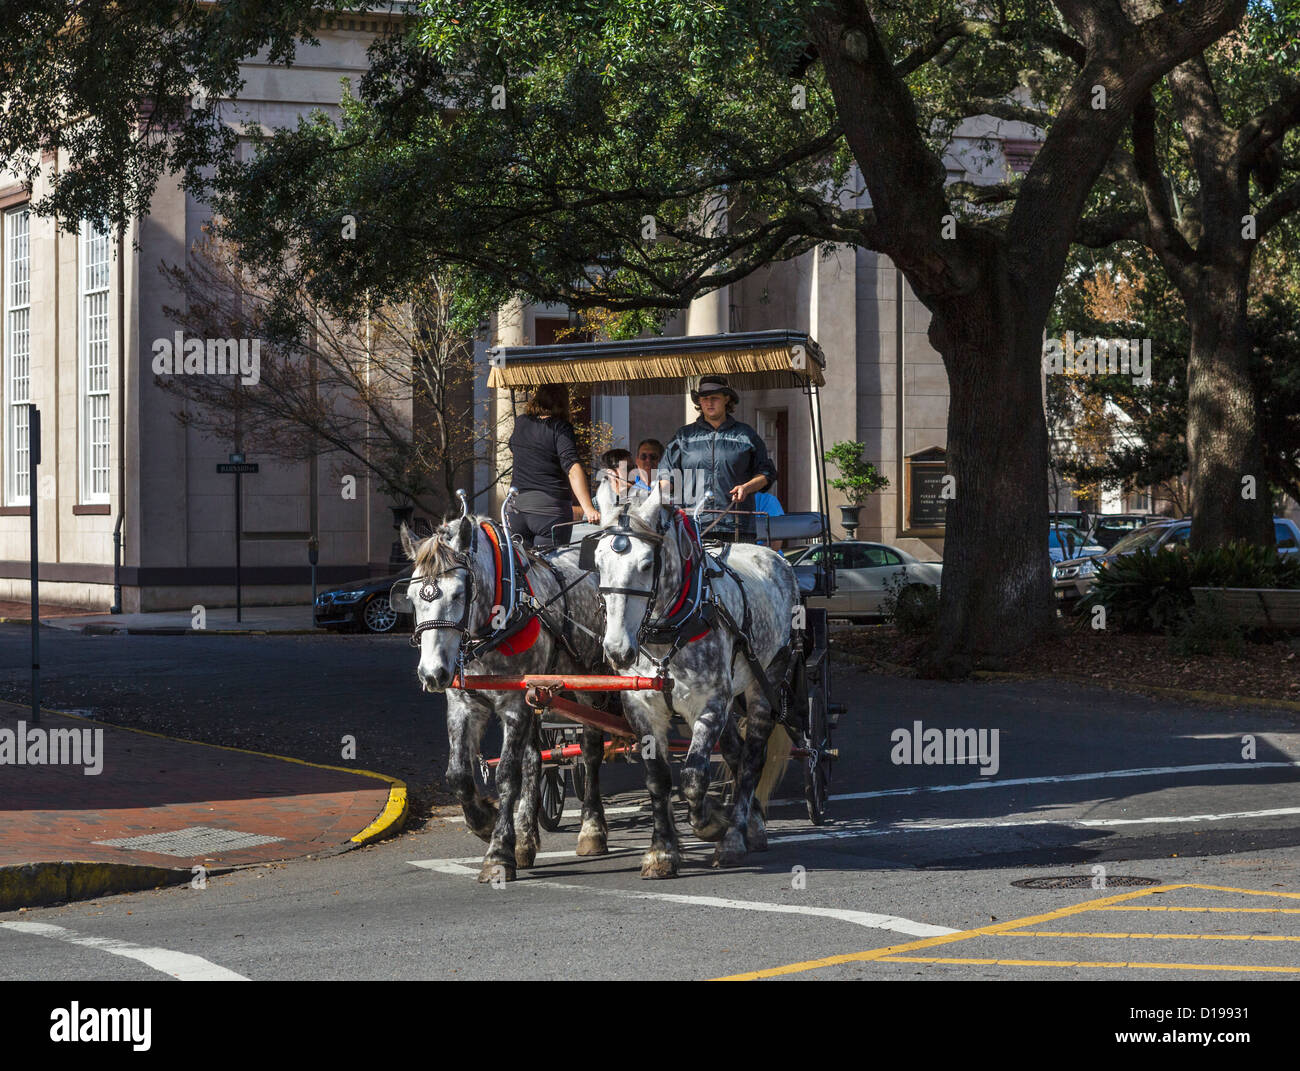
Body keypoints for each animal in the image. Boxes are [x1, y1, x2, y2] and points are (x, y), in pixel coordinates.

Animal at [397, 514, 611, 883]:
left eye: (458, 593)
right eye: (412, 596)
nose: (432, 673)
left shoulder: (514, 705)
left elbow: (506, 776)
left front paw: (498, 852)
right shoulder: (463, 705)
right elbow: (458, 774)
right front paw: (485, 822)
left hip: (588, 685)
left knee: (590, 751)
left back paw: (591, 829)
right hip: (541, 698)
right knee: (535, 760)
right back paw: (526, 837)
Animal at [592, 480, 800, 873]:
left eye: (646, 564)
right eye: (597, 562)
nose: (617, 650)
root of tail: (776, 558)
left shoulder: (709, 703)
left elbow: (692, 776)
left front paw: (711, 824)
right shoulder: (641, 706)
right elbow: (657, 777)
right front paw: (662, 851)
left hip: (765, 682)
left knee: (752, 759)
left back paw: (736, 834)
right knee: (735, 754)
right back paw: (752, 822)